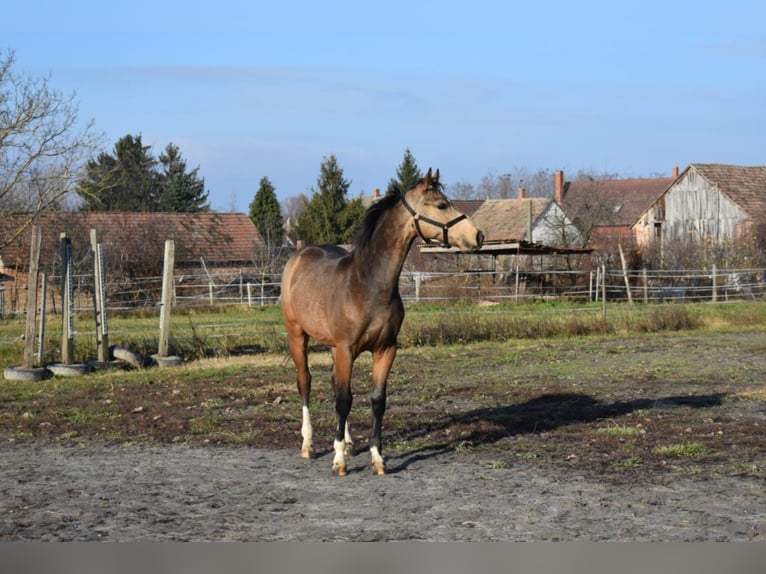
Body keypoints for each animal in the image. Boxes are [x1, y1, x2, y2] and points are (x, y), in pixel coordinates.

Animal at [280, 168, 484, 475]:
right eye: (441, 205)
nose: (478, 236)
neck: (368, 285)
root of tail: (300, 255)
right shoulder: (346, 349)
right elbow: (344, 400)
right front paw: (339, 462)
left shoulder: (385, 349)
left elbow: (376, 400)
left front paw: (376, 458)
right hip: (298, 335)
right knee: (305, 382)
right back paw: (309, 445)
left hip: (332, 347)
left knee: (334, 384)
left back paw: (349, 443)